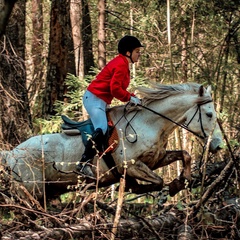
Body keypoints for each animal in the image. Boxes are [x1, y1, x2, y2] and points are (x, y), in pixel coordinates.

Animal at [0, 82, 224, 199]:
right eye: (209, 114)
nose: (218, 145)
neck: (150, 123)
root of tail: (12, 153)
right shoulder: (131, 165)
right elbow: (157, 181)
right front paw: (142, 188)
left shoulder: (156, 160)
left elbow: (184, 155)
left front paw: (180, 182)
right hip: (30, 192)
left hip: (48, 192)